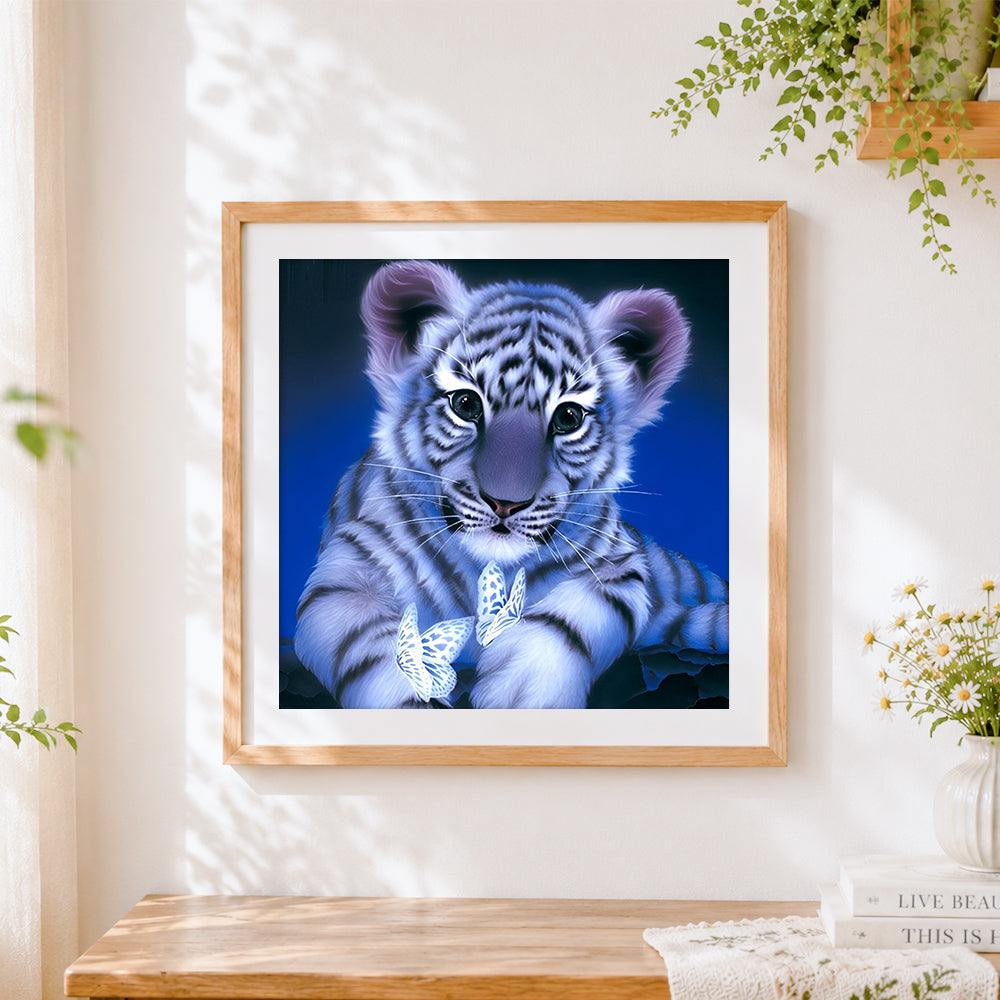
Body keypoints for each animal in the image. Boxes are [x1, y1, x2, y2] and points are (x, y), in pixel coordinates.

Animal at [293, 259, 729, 709]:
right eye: (465, 403)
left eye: (568, 417)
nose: (505, 503)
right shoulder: (347, 572)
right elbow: (376, 647)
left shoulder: (620, 564)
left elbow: (574, 616)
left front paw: (523, 691)